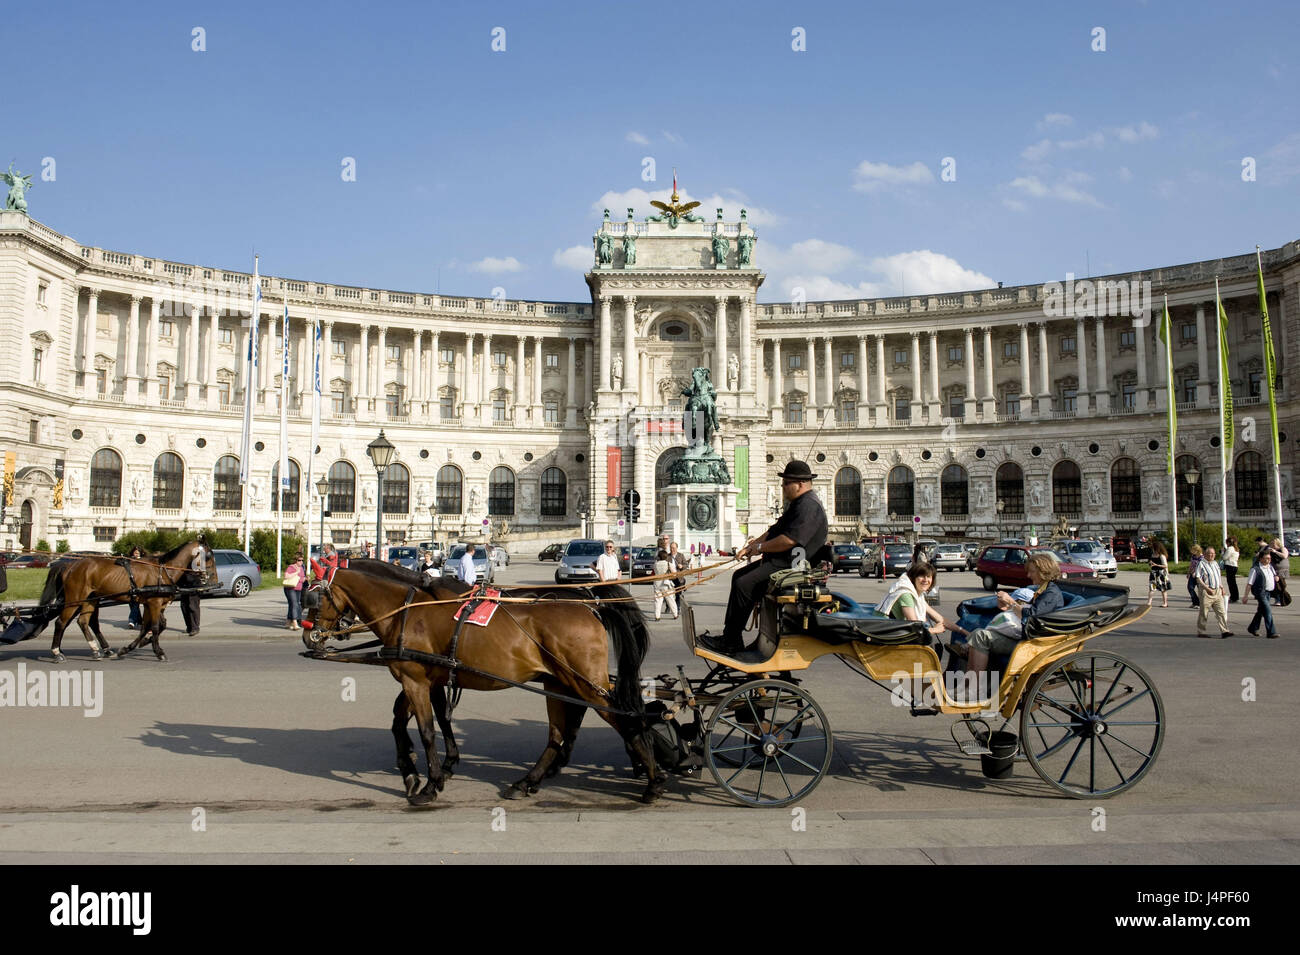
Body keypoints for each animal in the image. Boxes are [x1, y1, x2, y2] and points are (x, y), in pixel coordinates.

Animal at [34, 537, 215, 665]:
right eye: (209, 555)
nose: (213, 578)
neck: (163, 570)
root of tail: (70, 565)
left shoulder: (152, 604)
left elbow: (152, 626)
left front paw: (133, 646)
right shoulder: (154, 603)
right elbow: (155, 627)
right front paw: (158, 652)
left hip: (90, 600)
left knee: (84, 622)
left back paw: (96, 650)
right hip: (76, 599)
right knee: (61, 622)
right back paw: (57, 653)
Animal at [301, 566, 660, 805]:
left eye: (314, 597)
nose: (309, 637)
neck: (406, 612)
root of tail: (589, 605)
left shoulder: (415, 679)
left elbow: (426, 729)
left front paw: (430, 783)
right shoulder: (424, 678)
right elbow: (409, 720)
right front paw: (415, 771)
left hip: (584, 682)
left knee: (621, 717)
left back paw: (653, 782)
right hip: (559, 681)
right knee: (558, 734)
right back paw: (528, 781)